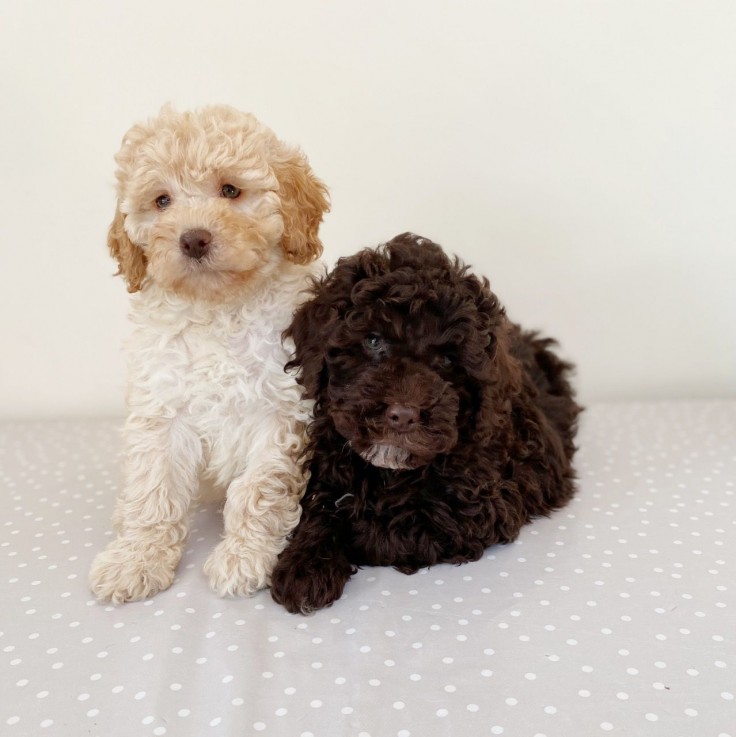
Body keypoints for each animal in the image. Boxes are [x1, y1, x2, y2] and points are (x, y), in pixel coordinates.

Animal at [88, 106, 328, 600]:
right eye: (162, 201)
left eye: (231, 190)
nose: (193, 239)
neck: (218, 310)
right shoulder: (161, 409)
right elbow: (153, 489)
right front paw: (136, 558)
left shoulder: (280, 413)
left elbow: (259, 490)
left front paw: (245, 557)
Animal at [270, 233, 580, 612]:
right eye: (373, 340)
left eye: (447, 360)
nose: (403, 415)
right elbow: (321, 506)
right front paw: (305, 566)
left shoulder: (479, 509)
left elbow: (384, 530)